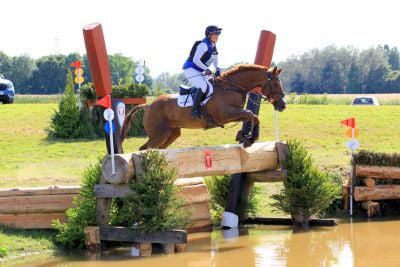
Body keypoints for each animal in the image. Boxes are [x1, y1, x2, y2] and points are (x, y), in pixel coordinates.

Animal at [120, 63, 286, 150]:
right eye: (275, 84)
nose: (282, 105)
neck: (232, 87)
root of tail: (148, 105)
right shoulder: (225, 114)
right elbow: (250, 113)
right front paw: (248, 138)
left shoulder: (233, 115)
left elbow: (253, 116)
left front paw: (247, 137)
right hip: (159, 134)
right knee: (145, 149)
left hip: (171, 133)